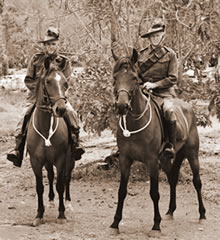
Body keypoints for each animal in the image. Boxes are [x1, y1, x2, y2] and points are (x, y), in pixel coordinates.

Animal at [26, 58, 74, 227]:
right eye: (48, 81)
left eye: (65, 83)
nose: (60, 109)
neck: (45, 128)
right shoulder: (36, 161)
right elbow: (40, 187)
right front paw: (39, 214)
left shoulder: (60, 159)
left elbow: (60, 185)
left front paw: (62, 214)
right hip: (47, 161)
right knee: (51, 175)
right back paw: (51, 201)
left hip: (70, 159)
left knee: (66, 178)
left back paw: (68, 203)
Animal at [110, 48, 206, 232]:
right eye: (115, 77)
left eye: (134, 77)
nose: (122, 106)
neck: (135, 122)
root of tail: (187, 106)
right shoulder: (125, 160)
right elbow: (121, 191)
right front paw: (115, 222)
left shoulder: (152, 161)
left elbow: (154, 193)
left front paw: (156, 223)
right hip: (167, 158)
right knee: (173, 178)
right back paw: (170, 211)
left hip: (192, 154)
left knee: (197, 182)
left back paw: (202, 214)